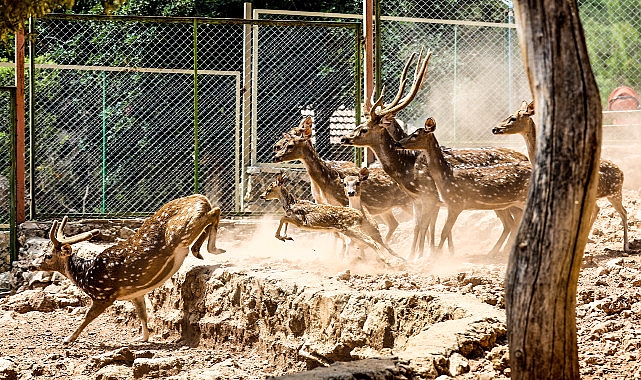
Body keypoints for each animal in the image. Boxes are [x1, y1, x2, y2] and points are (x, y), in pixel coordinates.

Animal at [30, 194, 225, 342]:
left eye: (48, 255)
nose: (32, 266)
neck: (86, 275)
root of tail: (201, 199)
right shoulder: (135, 293)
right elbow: (143, 315)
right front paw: (143, 337)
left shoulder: (104, 295)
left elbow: (87, 316)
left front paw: (68, 338)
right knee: (212, 215)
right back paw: (200, 251)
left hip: (181, 231)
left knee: (214, 212)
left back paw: (213, 249)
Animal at [258, 174, 402, 266]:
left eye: (269, 189)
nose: (261, 196)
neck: (291, 203)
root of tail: (360, 214)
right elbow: (285, 220)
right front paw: (286, 237)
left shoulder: (301, 221)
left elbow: (282, 218)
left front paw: (280, 236)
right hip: (349, 230)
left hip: (350, 228)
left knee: (371, 241)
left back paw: (386, 261)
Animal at [270, 117, 410, 242]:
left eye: (290, 144)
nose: (275, 152)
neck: (328, 180)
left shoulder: (343, 203)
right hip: (385, 209)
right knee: (393, 224)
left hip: (405, 203)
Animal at [396, 117, 528, 254]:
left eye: (415, 135)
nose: (397, 143)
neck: (447, 175)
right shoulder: (448, 204)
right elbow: (443, 230)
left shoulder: (456, 203)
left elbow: (444, 232)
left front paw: (435, 256)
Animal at [492, 99, 628, 251]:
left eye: (513, 118)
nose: (495, 129)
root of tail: (622, 172)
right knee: (599, 210)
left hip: (615, 193)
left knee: (623, 212)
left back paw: (626, 246)